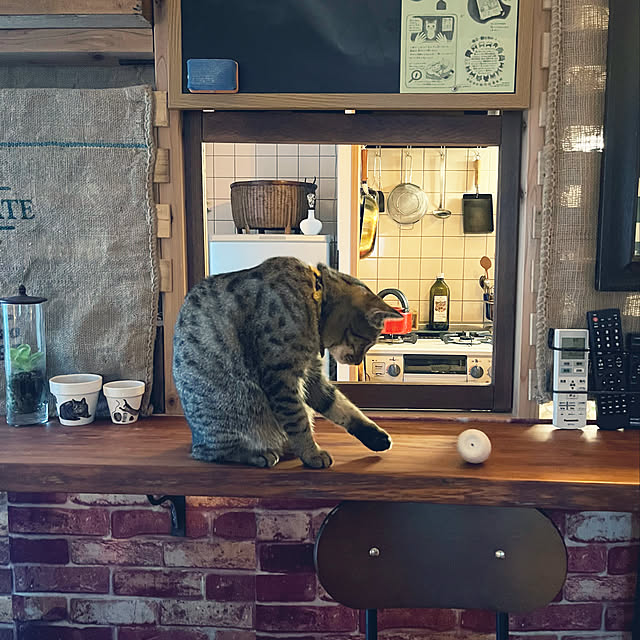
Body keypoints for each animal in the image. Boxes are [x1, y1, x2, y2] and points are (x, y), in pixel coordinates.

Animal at [172, 256, 402, 469]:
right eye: (368, 342)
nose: (358, 362)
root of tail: (195, 437)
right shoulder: (281, 376)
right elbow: (298, 421)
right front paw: (312, 454)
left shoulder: (311, 376)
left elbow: (342, 407)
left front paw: (375, 436)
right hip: (234, 410)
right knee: (211, 453)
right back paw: (258, 454)